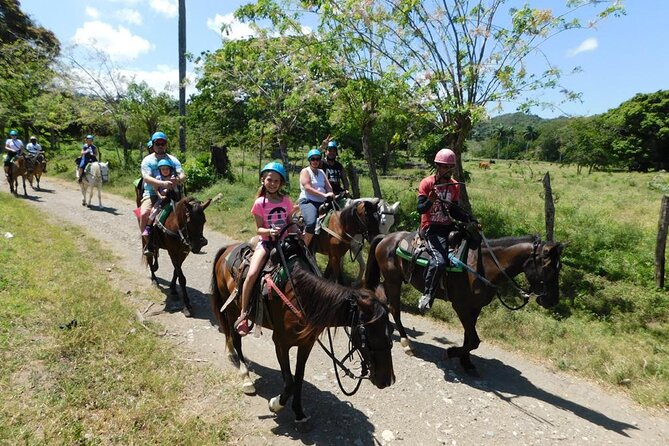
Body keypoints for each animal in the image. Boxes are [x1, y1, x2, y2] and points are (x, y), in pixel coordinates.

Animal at [211, 230, 394, 428]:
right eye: (369, 335)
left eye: (391, 333)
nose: (388, 380)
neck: (301, 296)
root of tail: (227, 250)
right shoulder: (281, 343)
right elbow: (289, 382)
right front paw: (275, 404)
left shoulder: (306, 344)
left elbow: (298, 379)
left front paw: (299, 413)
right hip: (232, 309)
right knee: (236, 339)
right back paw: (246, 378)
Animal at [366, 232, 564, 374]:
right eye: (548, 266)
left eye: (559, 267)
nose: (552, 300)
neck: (483, 265)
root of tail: (387, 237)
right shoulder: (460, 306)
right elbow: (474, 340)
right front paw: (452, 352)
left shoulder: (475, 307)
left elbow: (469, 337)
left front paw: (466, 362)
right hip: (393, 280)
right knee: (395, 309)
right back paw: (406, 342)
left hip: (392, 280)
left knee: (382, 297)